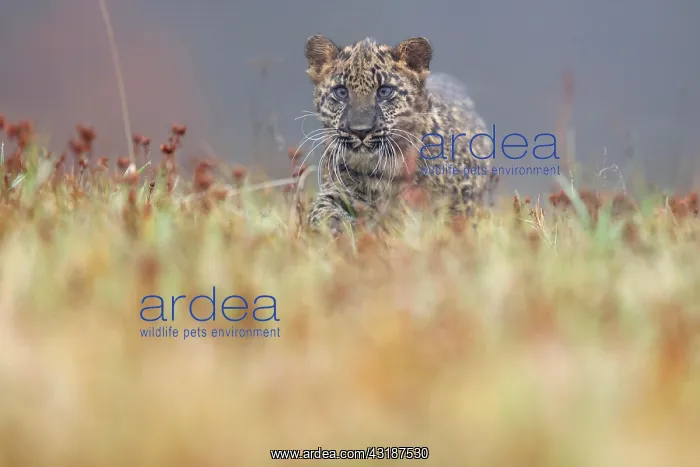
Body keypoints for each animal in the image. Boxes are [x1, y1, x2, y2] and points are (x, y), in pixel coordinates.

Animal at [302, 35, 498, 235]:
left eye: (384, 91)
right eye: (341, 92)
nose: (360, 130)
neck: (387, 167)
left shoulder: (462, 194)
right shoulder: (339, 191)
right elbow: (321, 212)